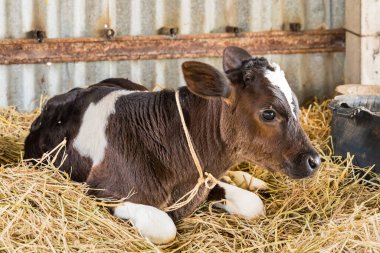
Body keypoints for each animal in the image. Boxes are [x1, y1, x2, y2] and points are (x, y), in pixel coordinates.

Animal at [24, 47, 320, 243]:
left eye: (295, 104)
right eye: (268, 113)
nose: (314, 160)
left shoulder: (204, 179)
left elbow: (252, 204)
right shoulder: (106, 193)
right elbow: (165, 227)